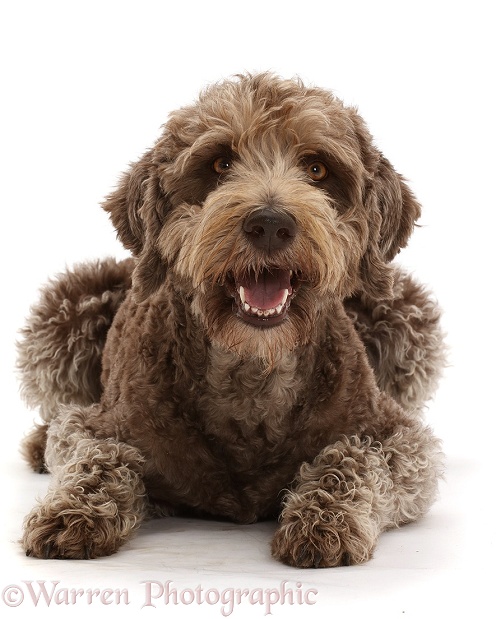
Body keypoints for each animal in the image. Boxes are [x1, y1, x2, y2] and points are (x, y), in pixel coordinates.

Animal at [18, 74, 446, 568]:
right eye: (221, 162)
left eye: (318, 169)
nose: (270, 224)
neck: (251, 370)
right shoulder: (96, 422)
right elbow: (97, 452)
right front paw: (75, 510)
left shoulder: (397, 435)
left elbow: (355, 458)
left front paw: (323, 520)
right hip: (67, 308)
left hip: (403, 315)